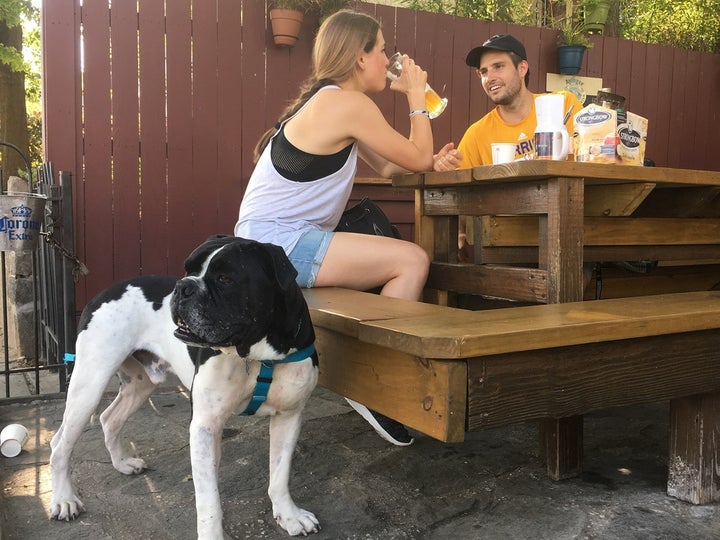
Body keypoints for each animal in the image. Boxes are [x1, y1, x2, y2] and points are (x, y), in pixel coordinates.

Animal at [49, 235, 320, 536]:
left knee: (110, 418)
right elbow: (209, 501)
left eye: (225, 278)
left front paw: (289, 514)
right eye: (188, 268)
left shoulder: (289, 416)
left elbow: (280, 474)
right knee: (60, 444)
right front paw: (212, 534)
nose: (182, 287)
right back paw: (64, 499)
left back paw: (122, 464)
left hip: (140, 385)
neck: (255, 355)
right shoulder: (204, 426)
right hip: (90, 383)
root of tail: (103, 293)